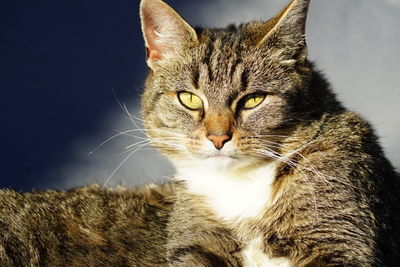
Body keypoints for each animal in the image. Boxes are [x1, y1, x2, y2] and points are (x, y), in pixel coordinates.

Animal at [0, 0, 398, 266]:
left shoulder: (340, 238)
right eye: (190, 99)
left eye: (253, 99)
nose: (218, 137)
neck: (242, 188)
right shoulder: (194, 244)